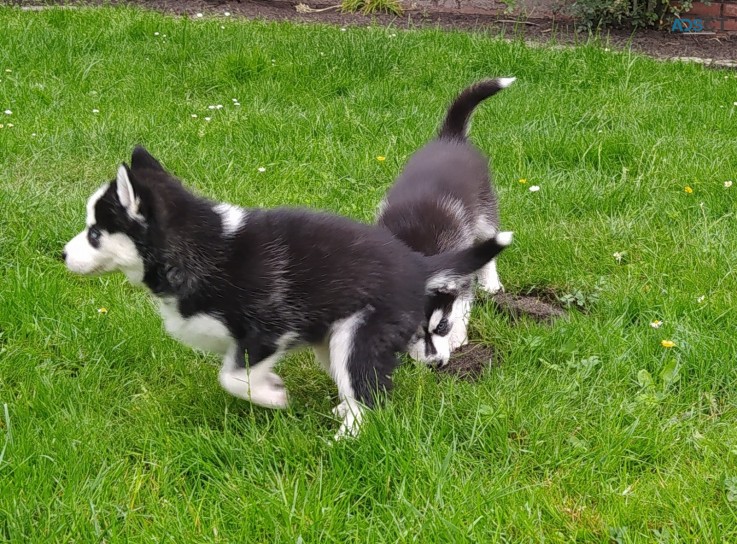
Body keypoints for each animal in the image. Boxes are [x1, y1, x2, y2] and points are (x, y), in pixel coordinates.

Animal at [63, 148, 512, 438]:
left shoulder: (268, 328)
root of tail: (418, 264)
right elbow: (235, 369)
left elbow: (232, 376)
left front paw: (272, 395)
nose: (61, 254)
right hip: (332, 340)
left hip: (355, 336)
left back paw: (346, 438)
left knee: (366, 393)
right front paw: (269, 388)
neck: (201, 248)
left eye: (95, 232)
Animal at [376, 76, 516, 368]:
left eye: (441, 326)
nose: (435, 364)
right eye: (411, 335)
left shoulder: (460, 271)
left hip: (485, 213)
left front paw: (458, 337)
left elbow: (461, 303)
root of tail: (450, 137)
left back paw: (490, 283)